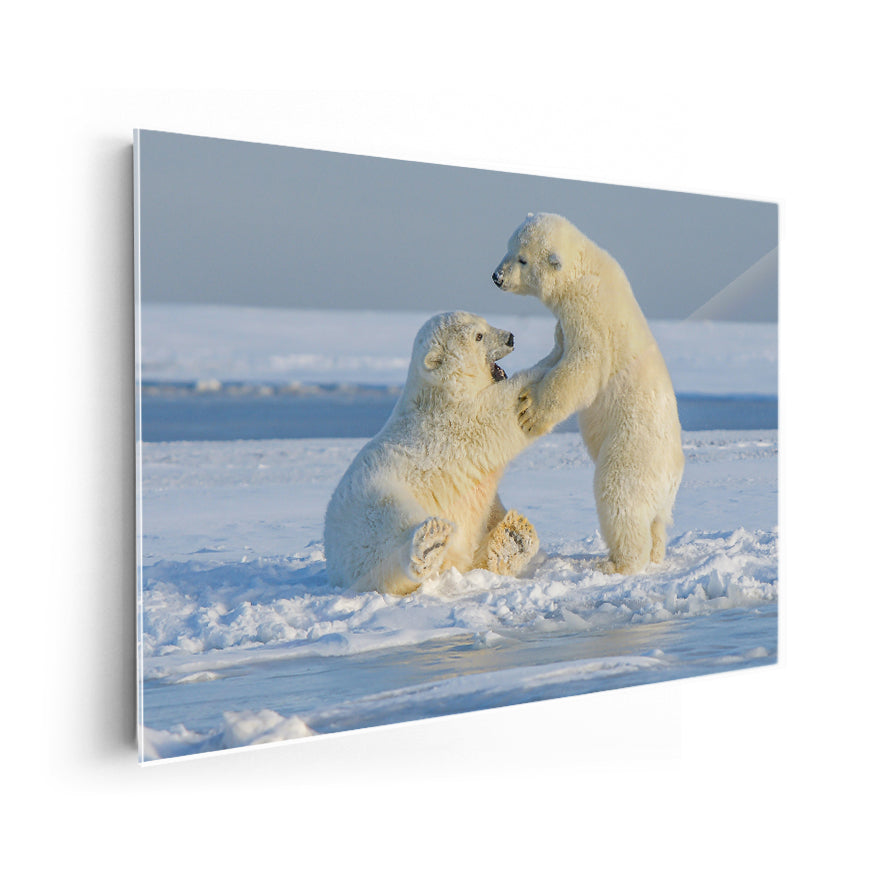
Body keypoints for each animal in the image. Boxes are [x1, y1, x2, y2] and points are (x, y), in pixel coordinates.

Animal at [324, 311, 551, 596]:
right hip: (374, 503)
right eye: (478, 335)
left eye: (485, 322)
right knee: (389, 538)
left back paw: (513, 536)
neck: (439, 393)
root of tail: (334, 563)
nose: (510, 337)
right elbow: (499, 412)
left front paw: (511, 537)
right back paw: (428, 544)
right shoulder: (456, 422)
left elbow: (487, 510)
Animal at [492, 212, 685, 575]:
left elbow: (582, 367)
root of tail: (672, 477)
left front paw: (530, 411)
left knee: (620, 499)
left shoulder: (590, 314)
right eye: (508, 248)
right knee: (656, 522)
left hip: (632, 450)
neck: (588, 269)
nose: (496, 277)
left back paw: (617, 564)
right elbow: (557, 351)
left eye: (522, 259)